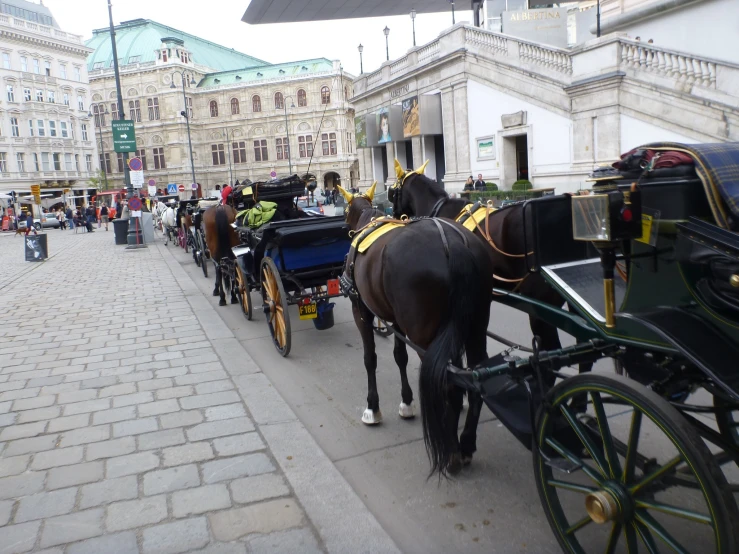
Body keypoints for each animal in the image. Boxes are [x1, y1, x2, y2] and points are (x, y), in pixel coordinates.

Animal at [338, 182, 494, 474]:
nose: (344, 229)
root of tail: (454, 244)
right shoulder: (398, 320)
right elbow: (400, 356)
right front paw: (407, 401)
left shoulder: (361, 310)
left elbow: (370, 358)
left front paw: (372, 408)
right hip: (475, 326)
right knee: (475, 378)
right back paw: (466, 443)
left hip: (425, 335)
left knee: (446, 384)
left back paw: (451, 451)